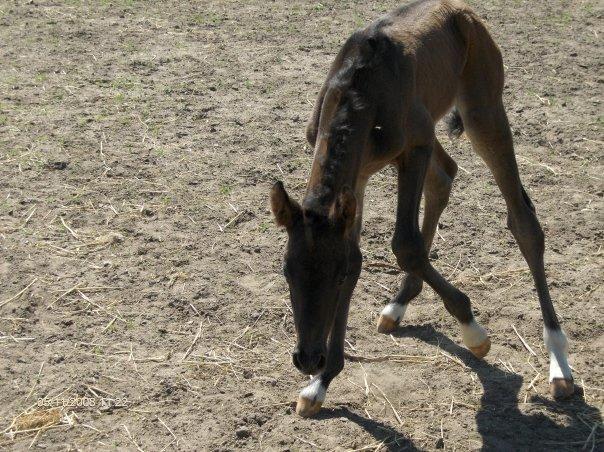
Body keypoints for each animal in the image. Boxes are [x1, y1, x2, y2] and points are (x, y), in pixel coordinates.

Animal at [272, 0, 572, 416]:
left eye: (333, 275)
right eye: (287, 271)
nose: (307, 358)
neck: (358, 92)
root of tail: (463, 12)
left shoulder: (414, 147)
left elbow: (404, 246)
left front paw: (473, 330)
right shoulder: (358, 176)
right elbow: (358, 255)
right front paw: (321, 383)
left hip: (481, 111)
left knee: (523, 221)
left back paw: (559, 362)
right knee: (445, 176)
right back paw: (398, 305)